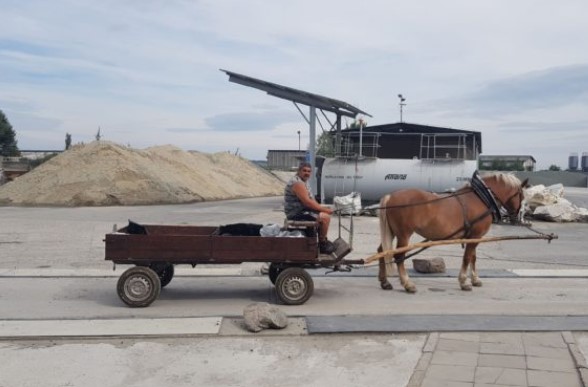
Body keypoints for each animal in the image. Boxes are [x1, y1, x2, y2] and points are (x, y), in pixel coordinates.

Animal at [378, 173, 532, 294]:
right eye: (521, 195)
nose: (516, 217)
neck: (482, 197)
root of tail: (390, 196)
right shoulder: (476, 235)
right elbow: (467, 258)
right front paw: (464, 282)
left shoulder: (473, 237)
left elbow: (473, 258)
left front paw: (475, 279)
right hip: (404, 234)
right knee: (399, 257)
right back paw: (408, 284)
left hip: (392, 232)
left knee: (382, 251)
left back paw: (385, 282)